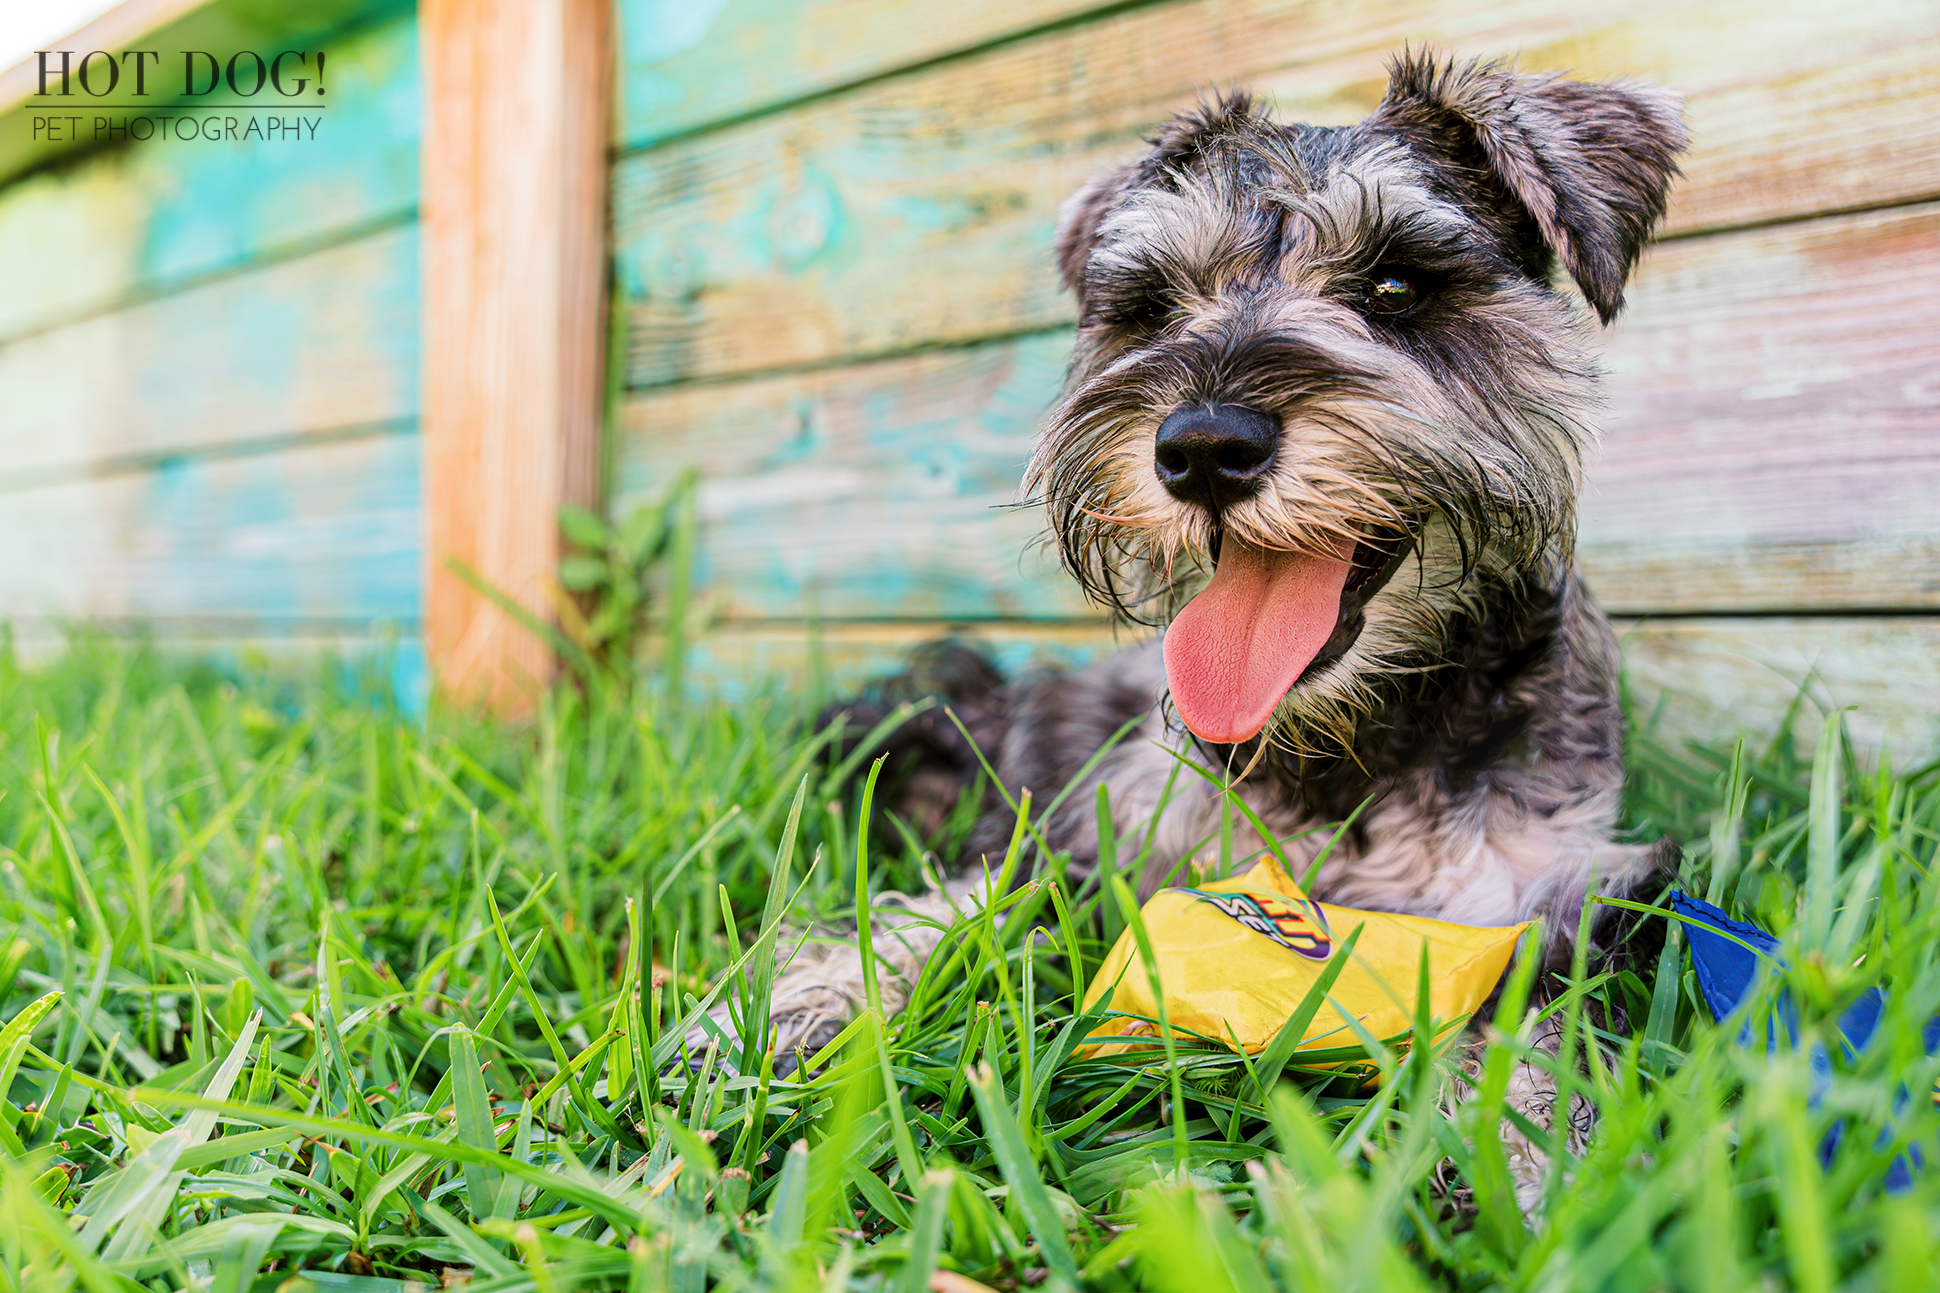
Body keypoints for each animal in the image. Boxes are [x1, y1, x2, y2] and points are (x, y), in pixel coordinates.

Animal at [713, 50, 1683, 1180]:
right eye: (1153, 304)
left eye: (1396, 286)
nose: (1204, 447)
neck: (1346, 746)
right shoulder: (1103, 843)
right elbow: (968, 902)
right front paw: (793, 1006)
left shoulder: (1548, 903)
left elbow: (1539, 1040)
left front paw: (1530, 1167)